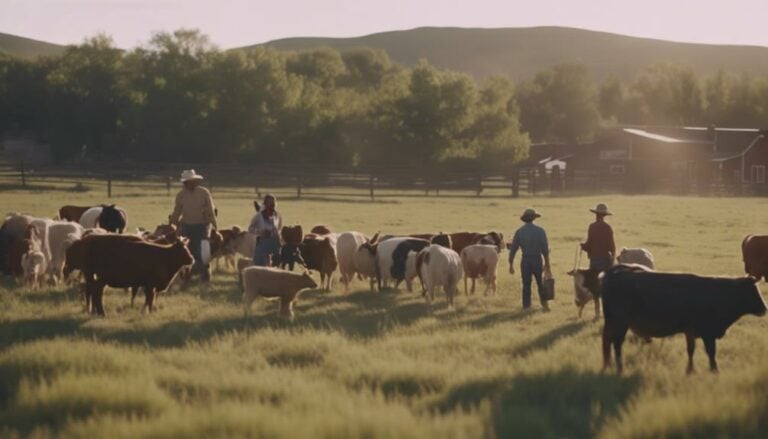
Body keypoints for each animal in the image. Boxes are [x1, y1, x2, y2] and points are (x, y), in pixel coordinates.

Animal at [64, 234, 194, 316]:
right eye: (181, 249)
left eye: (187, 248)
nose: (192, 259)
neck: (164, 256)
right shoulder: (150, 284)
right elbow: (150, 299)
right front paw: (147, 312)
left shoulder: (150, 286)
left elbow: (150, 299)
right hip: (96, 278)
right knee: (94, 294)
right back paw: (100, 313)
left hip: (98, 279)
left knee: (94, 293)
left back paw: (97, 312)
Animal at [604, 264, 764, 374]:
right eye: (751, 291)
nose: (765, 308)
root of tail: (618, 271)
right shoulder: (708, 333)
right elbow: (711, 352)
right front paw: (714, 370)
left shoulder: (690, 331)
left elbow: (691, 350)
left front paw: (690, 370)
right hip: (620, 322)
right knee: (617, 343)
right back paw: (619, 368)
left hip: (612, 322)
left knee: (608, 342)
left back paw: (609, 365)